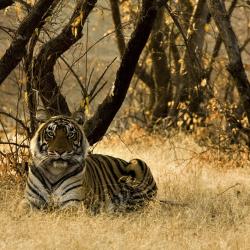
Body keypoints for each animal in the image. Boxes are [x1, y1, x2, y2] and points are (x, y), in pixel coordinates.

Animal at [22, 115, 157, 213]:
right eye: (51, 134)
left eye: (70, 135)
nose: (60, 151)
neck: (54, 172)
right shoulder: (31, 200)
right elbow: (22, 210)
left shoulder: (73, 202)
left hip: (138, 163)